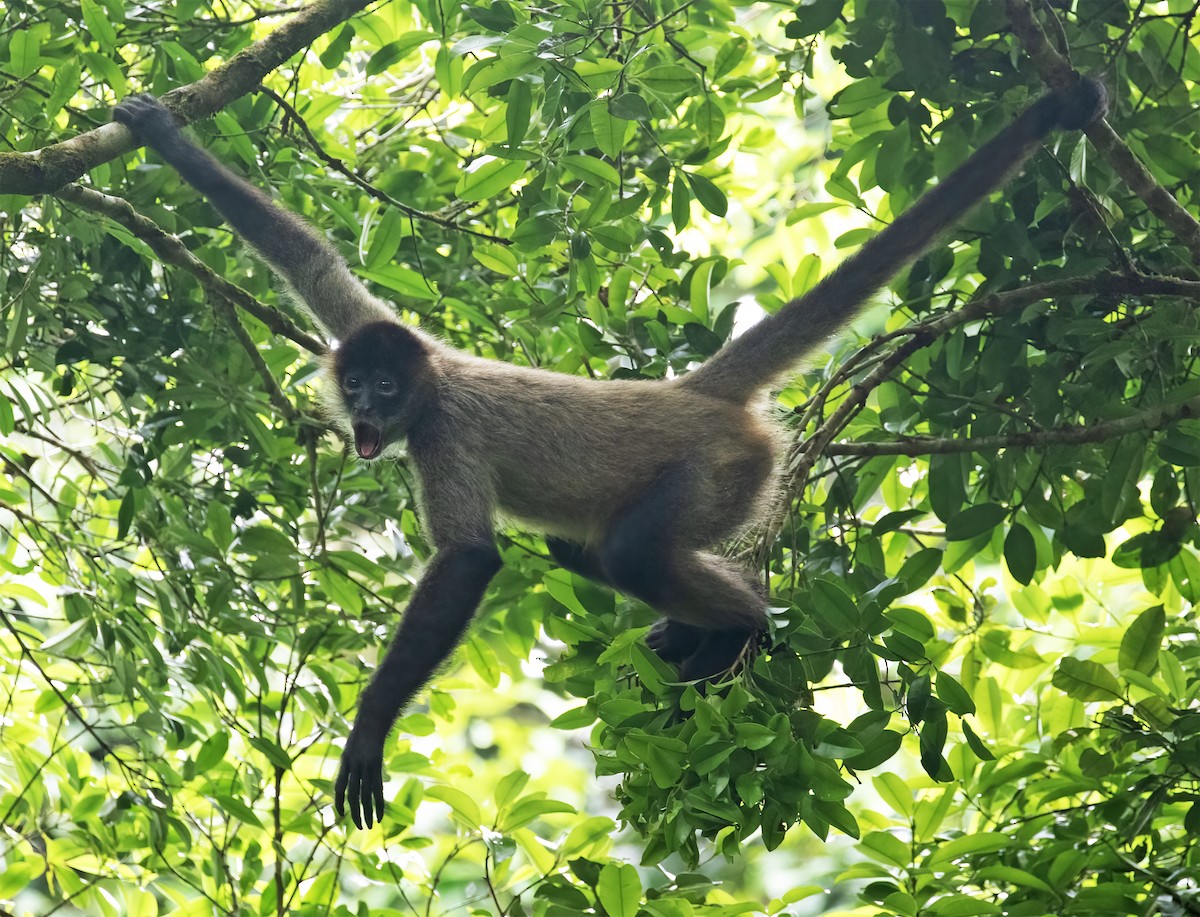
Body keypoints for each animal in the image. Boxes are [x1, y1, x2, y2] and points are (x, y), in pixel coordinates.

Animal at [111, 76, 1107, 828]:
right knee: (584, 551)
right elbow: (305, 251)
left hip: (721, 469)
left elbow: (469, 556)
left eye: (387, 391)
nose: (363, 407)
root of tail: (692, 392)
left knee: (629, 552)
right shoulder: (368, 327)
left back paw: (746, 631)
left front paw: (366, 736)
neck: (432, 384)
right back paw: (712, 632)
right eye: (357, 382)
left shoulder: (444, 431)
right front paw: (161, 133)